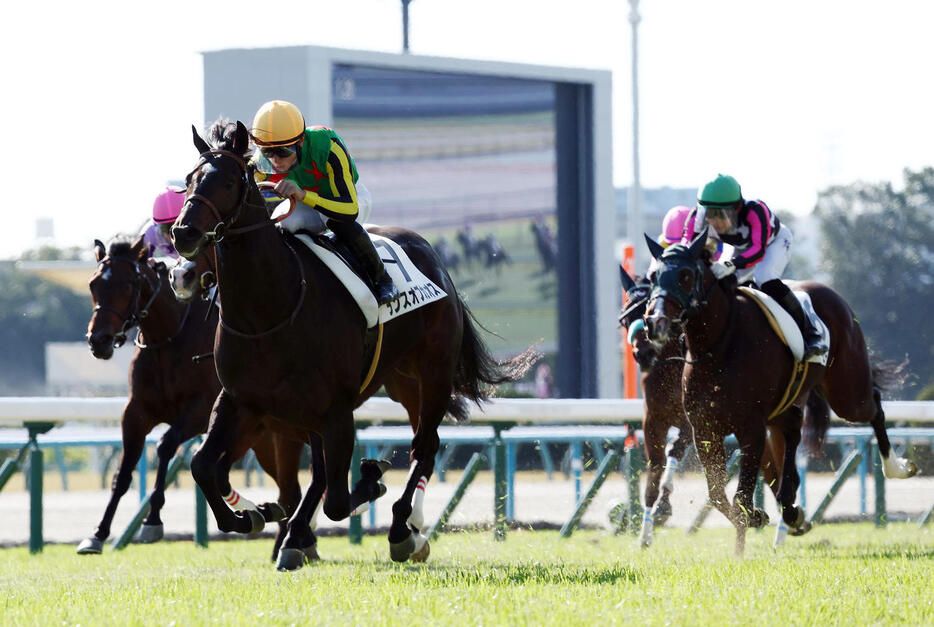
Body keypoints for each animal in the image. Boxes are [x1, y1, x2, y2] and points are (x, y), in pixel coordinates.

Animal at [80, 236, 306, 560]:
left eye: (126, 285)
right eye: (93, 284)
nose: (98, 341)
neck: (168, 338)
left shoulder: (200, 410)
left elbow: (165, 445)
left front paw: (152, 520)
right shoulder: (135, 412)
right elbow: (123, 473)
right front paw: (97, 534)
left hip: (281, 434)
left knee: (293, 487)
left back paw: (293, 544)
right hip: (259, 438)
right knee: (286, 491)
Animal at [168, 120, 532, 572]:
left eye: (230, 180)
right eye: (188, 179)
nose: (183, 234)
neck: (270, 311)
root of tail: (432, 255)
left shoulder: (336, 411)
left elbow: (338, 500)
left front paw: (371, 481)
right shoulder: (241, 401)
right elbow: (203, 466)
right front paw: (252, 514)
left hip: (434, 372)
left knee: (424, 446)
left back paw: (403, 530)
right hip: (402, 381)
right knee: (417, 447)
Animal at [648, 234, 916, 556]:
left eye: (686, 276)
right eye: (652, 277)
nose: (655, 322)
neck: (720, 343)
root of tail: (832, 294)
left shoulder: (750, 428)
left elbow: (740, 495)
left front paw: (745, 536)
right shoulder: (705, 429)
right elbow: (717, 494)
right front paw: (755, 521)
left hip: (848, 395)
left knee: (874, 404)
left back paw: (897, 467)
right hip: (788, 405)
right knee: (792, 433)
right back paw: (790, 506)